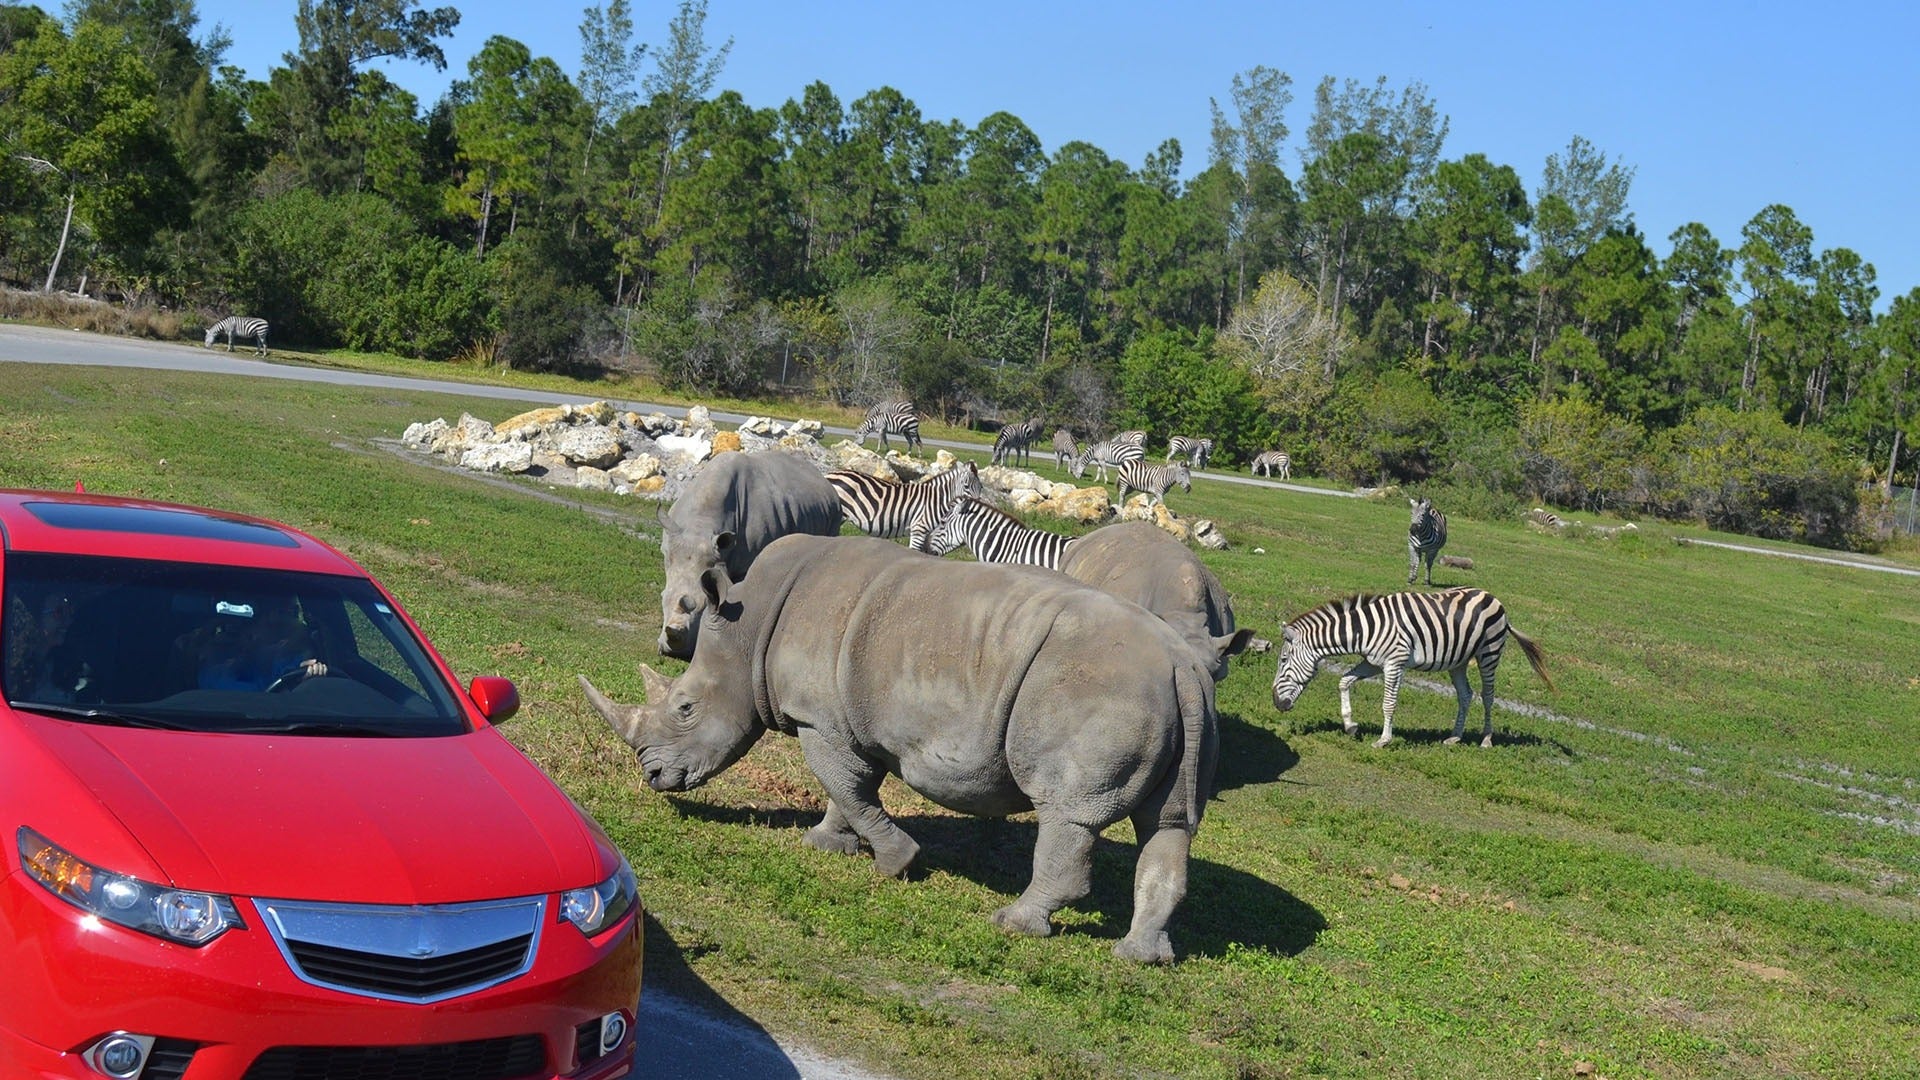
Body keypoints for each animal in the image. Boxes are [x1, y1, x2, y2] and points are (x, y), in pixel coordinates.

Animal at [582, 534, 1219, 963]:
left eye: (685, 708)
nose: (651, 775)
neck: (747, 630)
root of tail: (1184, 666)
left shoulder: (819, 719)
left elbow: (846, 785)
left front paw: (897, 862)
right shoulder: (843, 721)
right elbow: (848, 787)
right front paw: (826, 844)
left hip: (1098, 691)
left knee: (1068, 813)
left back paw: (1011, 923)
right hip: (1170, 699)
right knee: (1167, 824)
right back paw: (1141, 957)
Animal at [657, 451, 843, 658]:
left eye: (704, 605)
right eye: (662, 597)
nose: (673, 652)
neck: (701, 525)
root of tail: (821, 476)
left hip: (835, 512)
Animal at [826, 462, 981, 552]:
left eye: (981, 487)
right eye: (966, 486)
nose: (976, 507)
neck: (937, 500)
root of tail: (830, 474)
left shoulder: (927, 534)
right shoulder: (919, 529)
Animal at [1269, 587, 1553, 748]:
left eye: (1283, 661)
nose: (1276, 703)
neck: (1365, 629)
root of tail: (1494, 598)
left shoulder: (1394, 663)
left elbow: (1388, 703)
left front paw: (1383, 740)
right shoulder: (1373, 662)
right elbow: (1344, 681)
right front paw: (1350, 725)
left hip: (1489, 653)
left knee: (1488, 696)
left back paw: (1485, 739)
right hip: (1459, 661)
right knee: (1465, 695)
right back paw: (1455, 737)